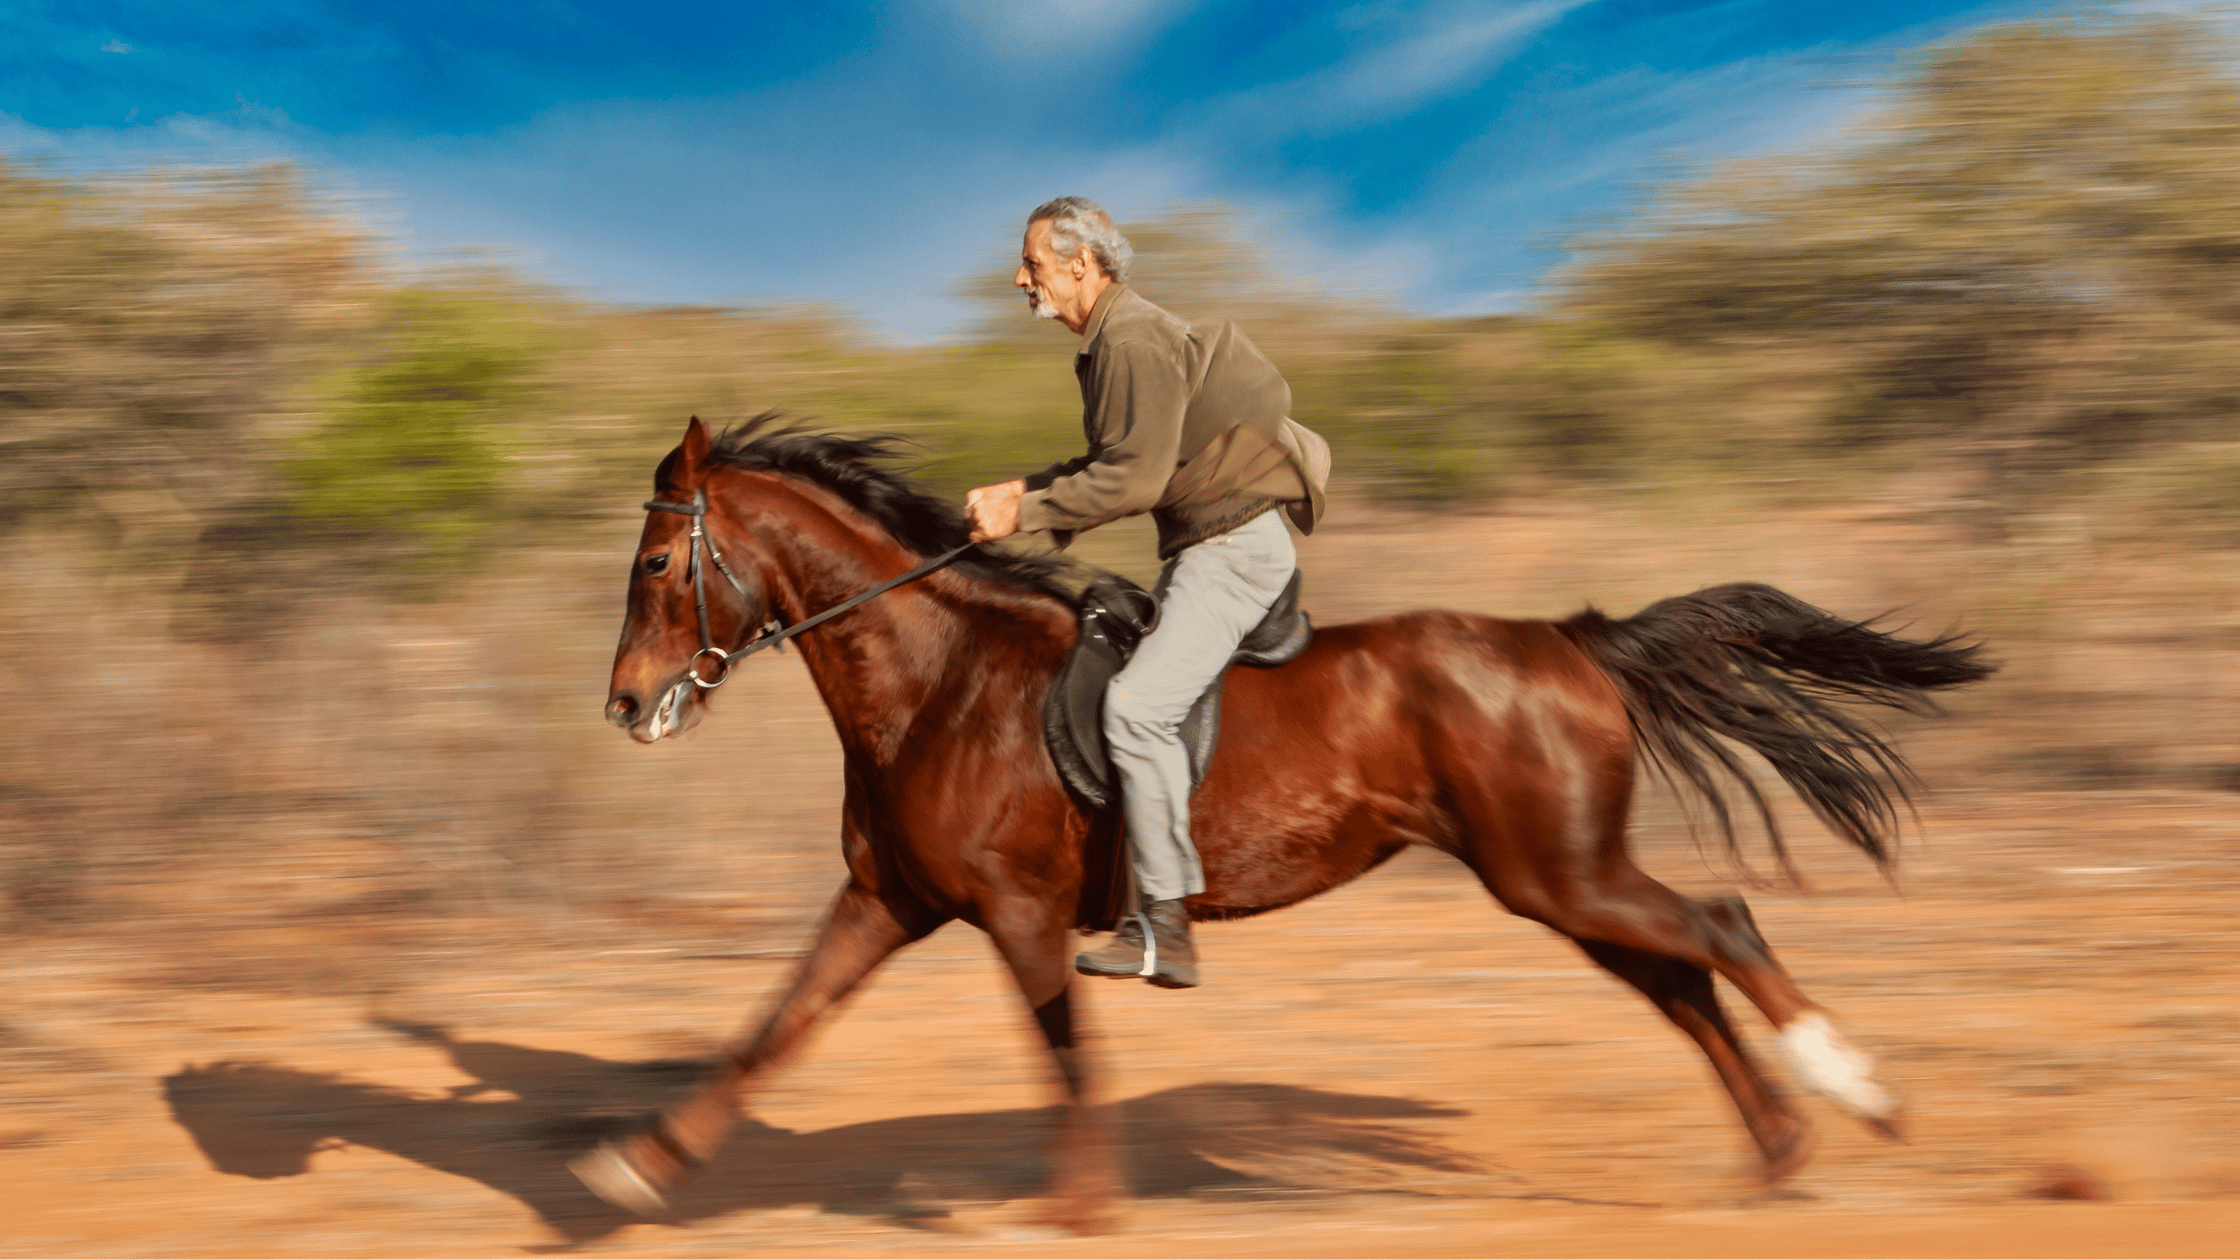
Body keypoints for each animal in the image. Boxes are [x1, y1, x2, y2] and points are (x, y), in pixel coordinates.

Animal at [577, 417, 1998, 1219]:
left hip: (1558, 873)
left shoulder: (1021, 917)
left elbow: (1068, 1059)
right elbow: (775, 1028)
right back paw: (1775, 1156)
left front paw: (1083, 1214)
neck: (939, 681)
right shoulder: (888, 903)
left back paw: (1854, 1094)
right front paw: (636, 1169)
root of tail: (1571, 639)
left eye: (653, 563)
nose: (626, 704)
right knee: (1684, 980)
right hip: (1556, 881)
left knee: (1722, 927)